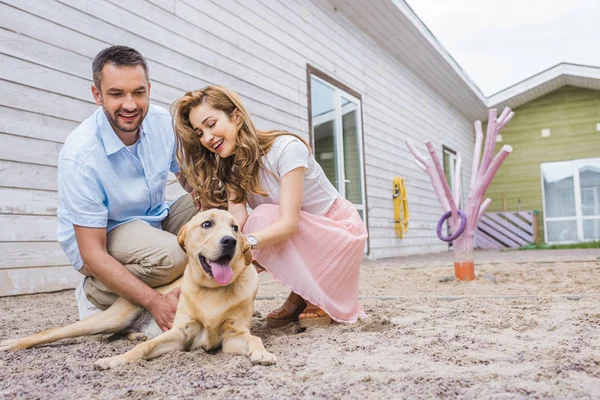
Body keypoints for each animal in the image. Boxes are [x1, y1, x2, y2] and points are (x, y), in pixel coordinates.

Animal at [0, 209, 276, 368]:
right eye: (207, 224)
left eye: (235, 228)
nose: (230, 241)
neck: (211, 291)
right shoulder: (180, 333)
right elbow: (143, 349)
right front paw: (115, 360)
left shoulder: (233, 336)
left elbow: (254, 338)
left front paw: (261, 353)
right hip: (110, 317)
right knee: (56, 331)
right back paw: (11, 343)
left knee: (118, 334)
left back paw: (135, 334)